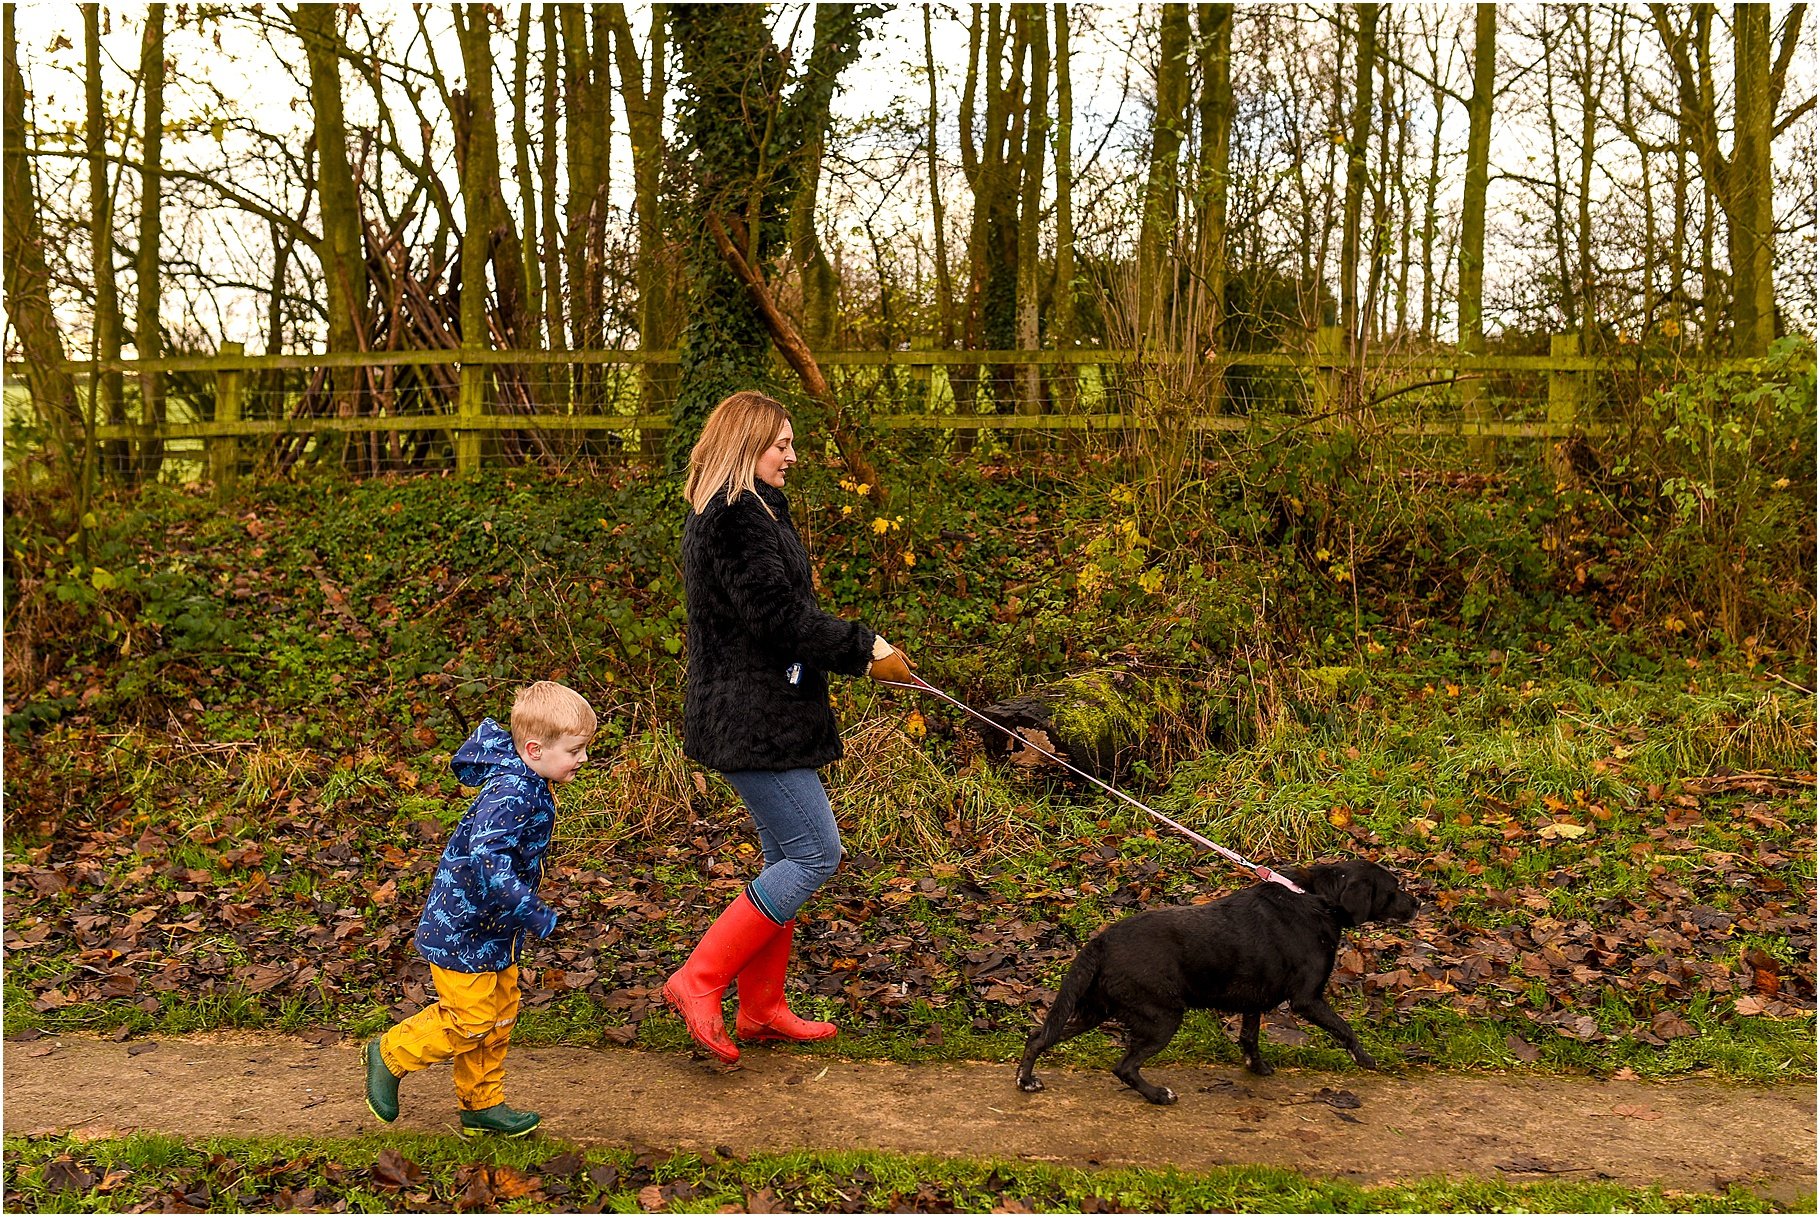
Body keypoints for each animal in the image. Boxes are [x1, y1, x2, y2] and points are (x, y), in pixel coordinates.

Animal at [1011, 858, 1419, 1106]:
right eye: (1394, 888)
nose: (1418, 904)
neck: (1320, 898)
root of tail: (1100, 942)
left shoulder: (1254, 1000)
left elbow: (1249, 1038)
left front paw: (1256, 1068)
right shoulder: (1307, 998)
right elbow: (1344, 1028)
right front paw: (1365, 1059)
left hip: (1094, 1010)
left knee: (1037, 1037)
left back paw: (1026, 1080)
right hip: (1161, 1017)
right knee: (1124, 1068)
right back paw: (1159, 1095)